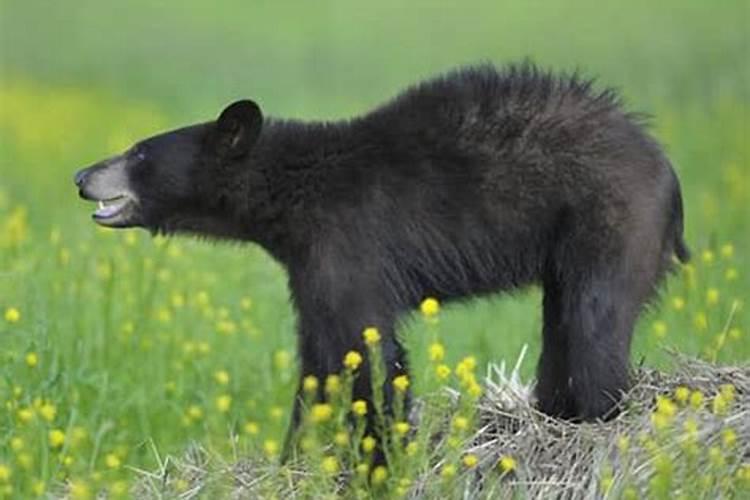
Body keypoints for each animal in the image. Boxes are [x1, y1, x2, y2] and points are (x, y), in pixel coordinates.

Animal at [76, 66, 692, 458]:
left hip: (613, 222)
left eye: (139, 152)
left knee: (594, 326)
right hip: (568, 251)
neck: (294, 194)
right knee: (561, 327)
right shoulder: (310, 265)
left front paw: (380, 462)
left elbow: (370, 354)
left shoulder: (348, 246)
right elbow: (320, 361)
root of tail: (666, 166)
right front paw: (297, 460)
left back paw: (599, 424)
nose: (81, 175)